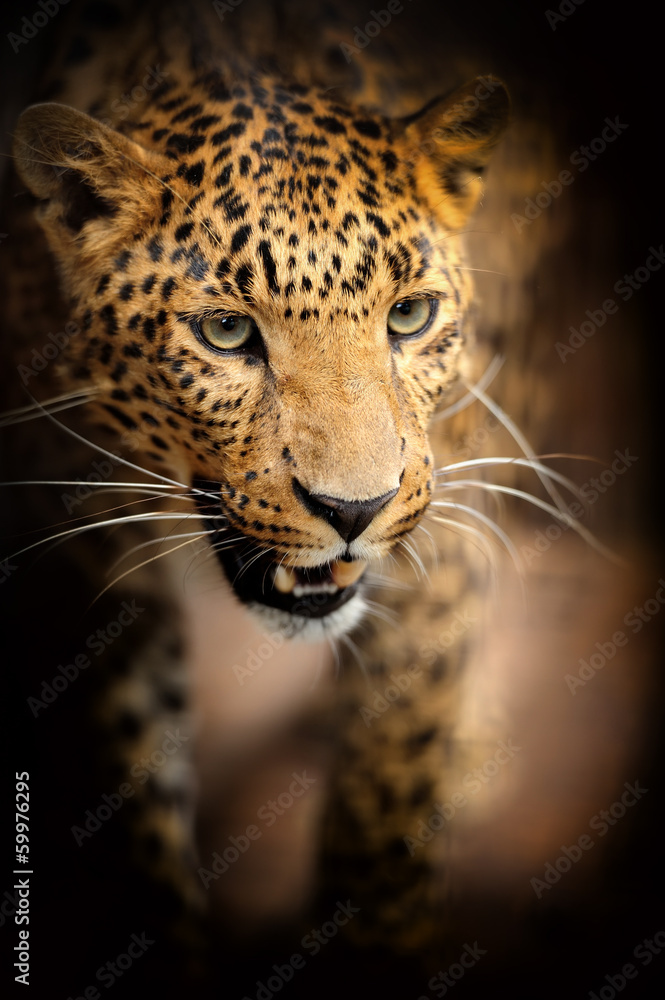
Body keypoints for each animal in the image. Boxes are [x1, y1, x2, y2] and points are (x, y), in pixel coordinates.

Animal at [1, 1, 659, 997]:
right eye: (225, 332)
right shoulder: (86, 572)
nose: (355, 510)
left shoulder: (438, 553)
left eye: (409, 317)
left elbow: (386, 800)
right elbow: (133, 811)